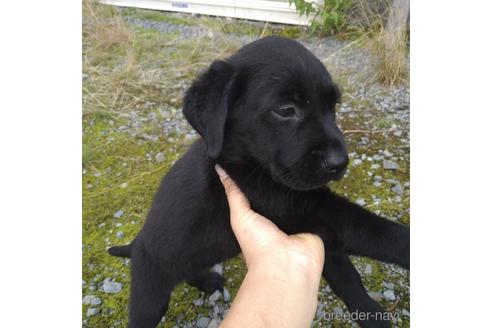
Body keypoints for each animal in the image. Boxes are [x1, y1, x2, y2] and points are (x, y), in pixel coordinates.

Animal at [109, 36, 410, 328]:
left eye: (333, 106)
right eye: (286, 110)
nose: (340, 162)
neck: (244, 160)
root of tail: (137, 244)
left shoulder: (316, 229)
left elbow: (347, 275)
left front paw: (371, 314)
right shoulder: (302, 208)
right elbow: (369, 228)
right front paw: (406, 245)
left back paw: (207, 280)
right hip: (151, 294)